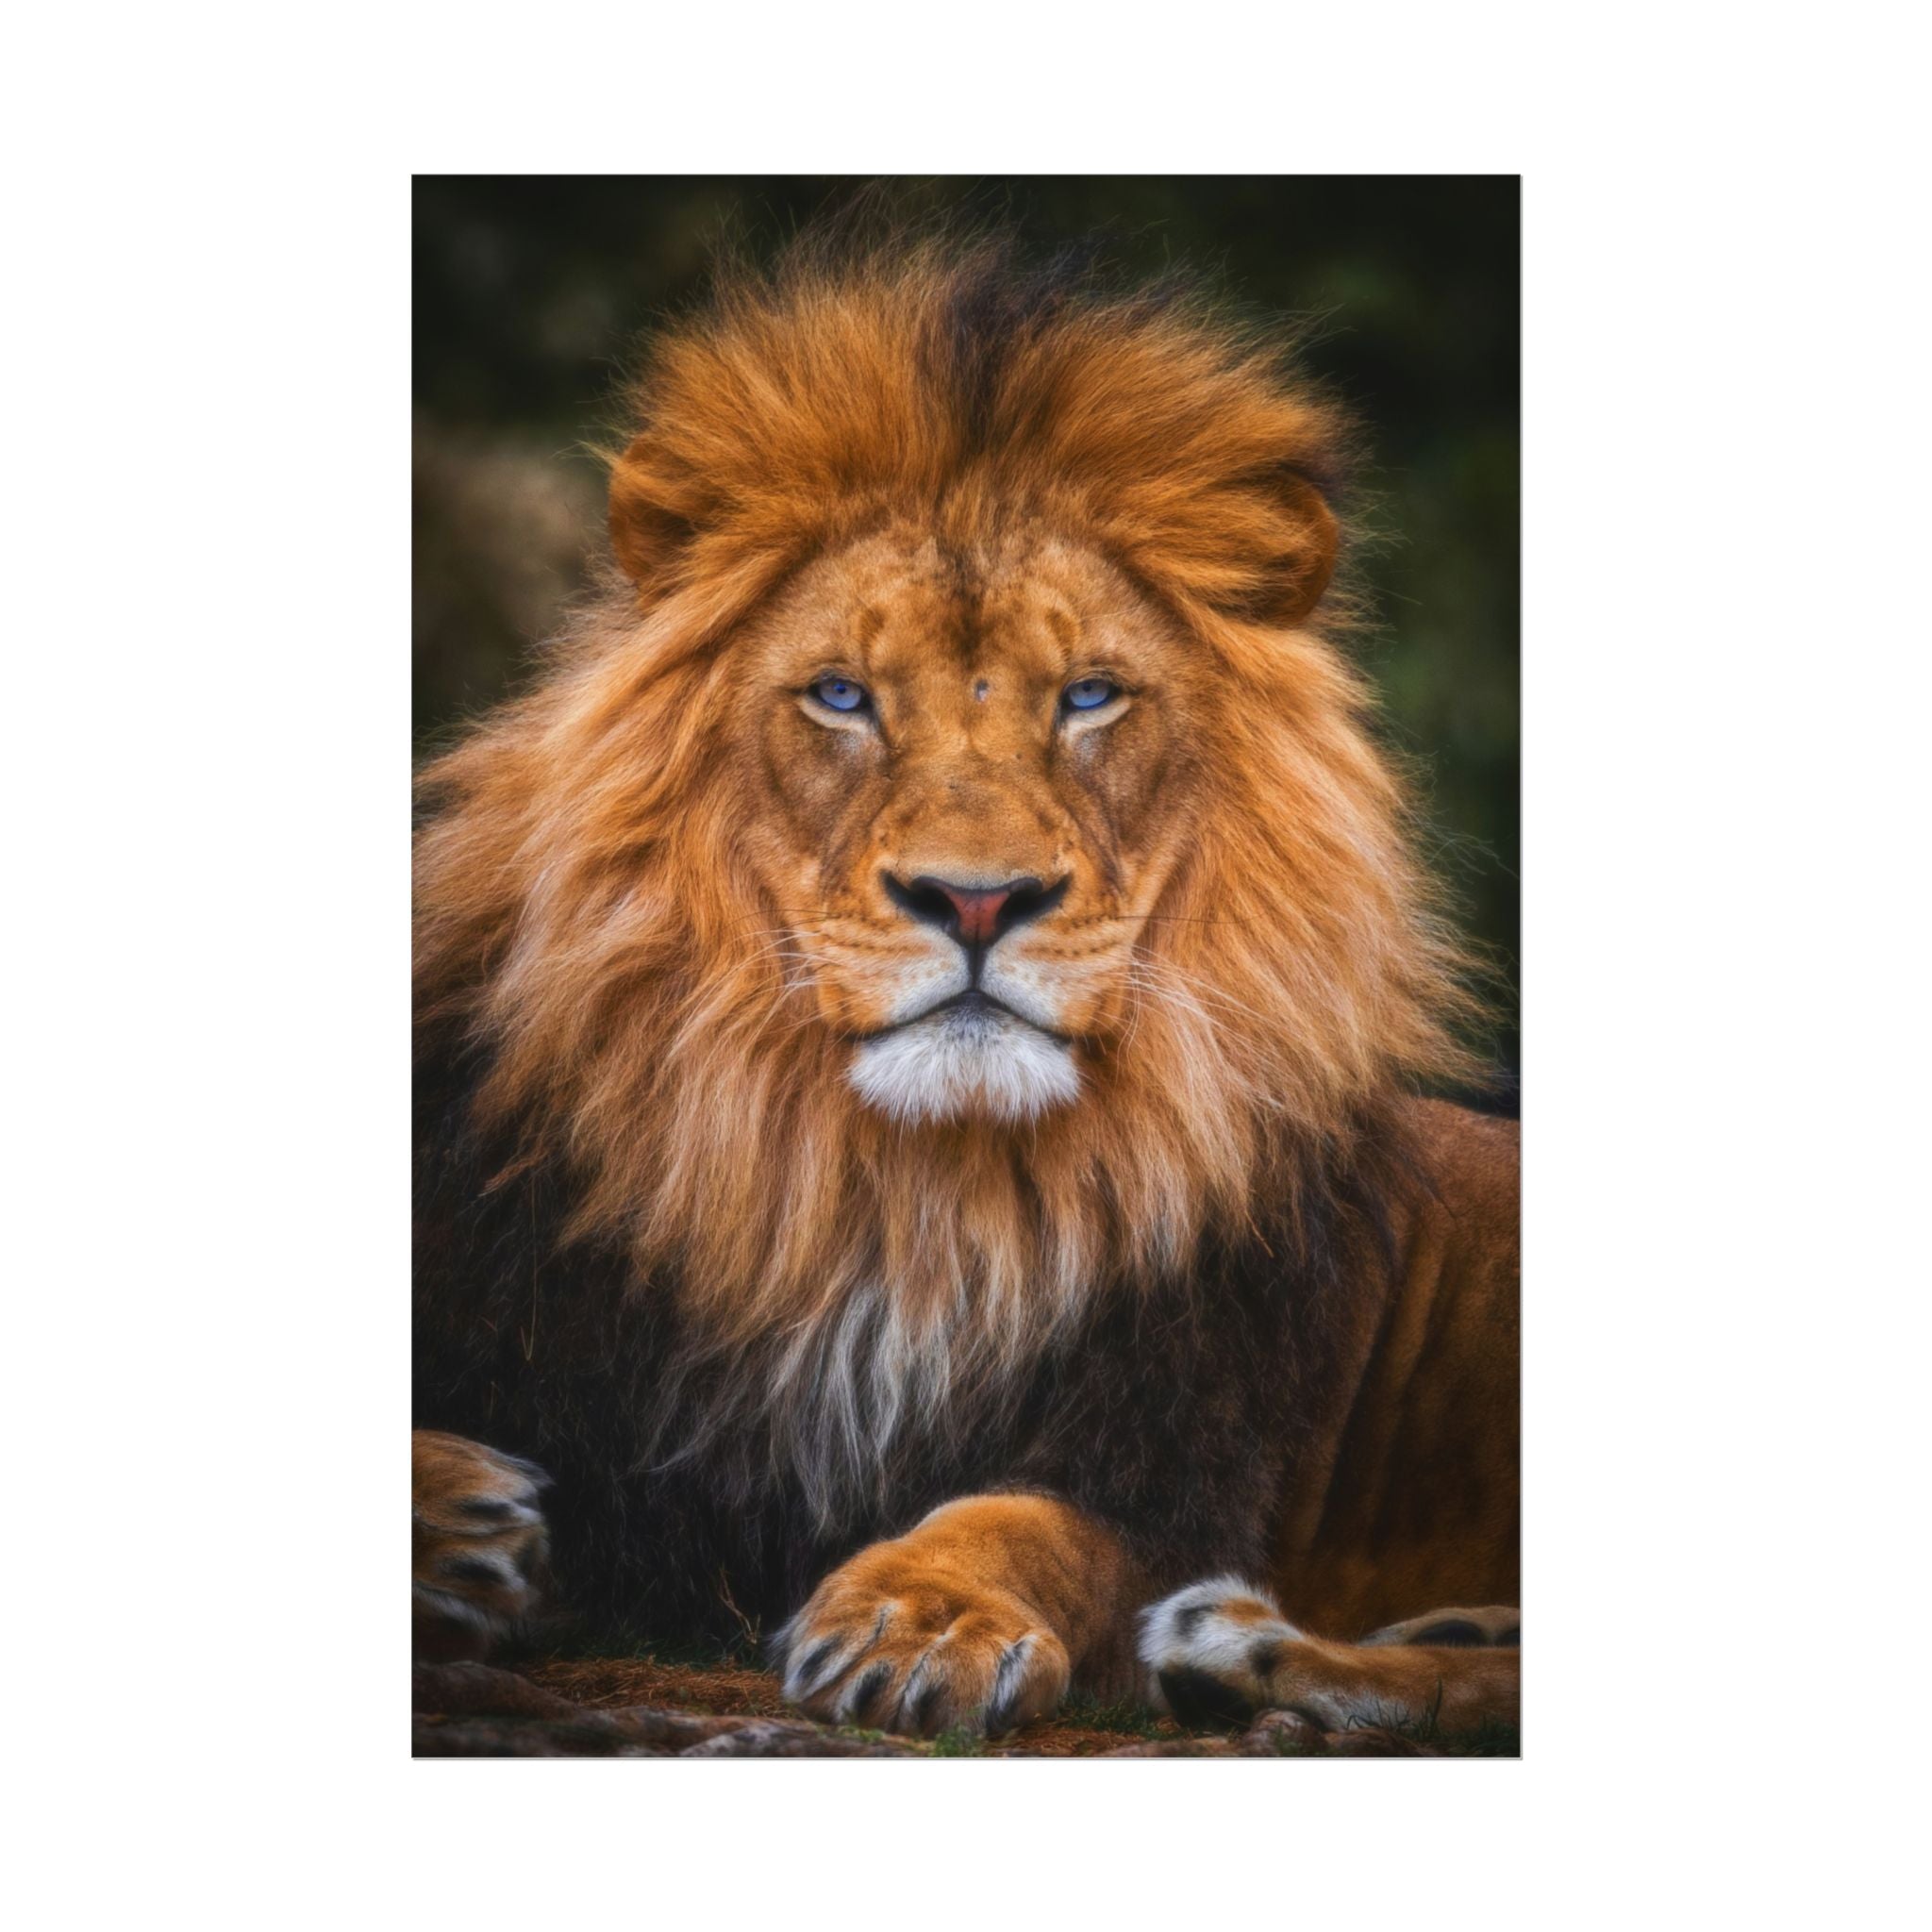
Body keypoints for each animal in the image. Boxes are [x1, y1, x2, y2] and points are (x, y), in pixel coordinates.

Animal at [412, 233, 1520, 1744]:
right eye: (840, 695)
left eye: (1090, 696)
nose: (978, 899)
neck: (897, 1197)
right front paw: (456, 1519)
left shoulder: (1175, 1461)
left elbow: (1026, 1523)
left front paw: (919, 1618)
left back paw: (1249, 1649)